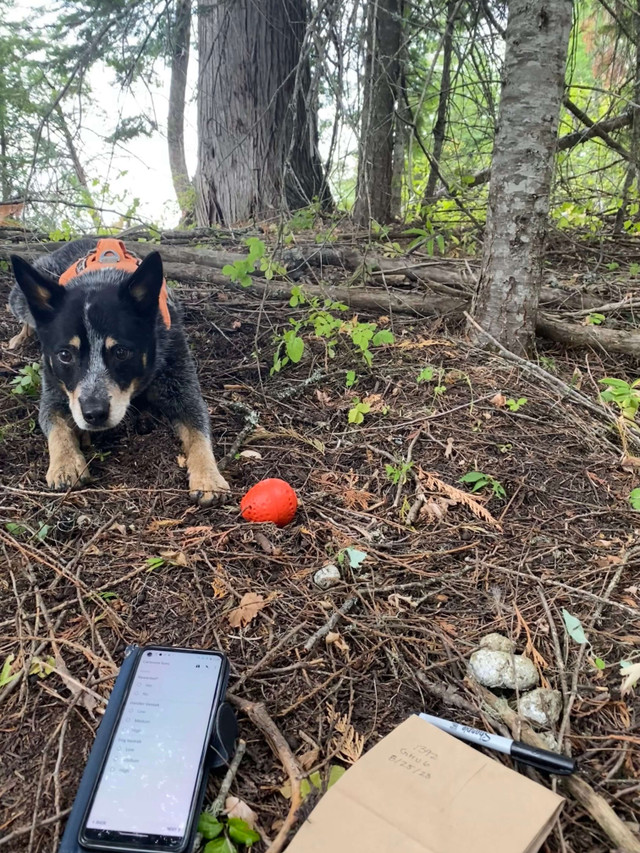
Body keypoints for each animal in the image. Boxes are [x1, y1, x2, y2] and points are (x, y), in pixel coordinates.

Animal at [8, 237, 230, 506]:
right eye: (65, 355)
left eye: (121, 352)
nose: (94, 414)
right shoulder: (54, 391)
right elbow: (56, 424)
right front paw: (66, 464)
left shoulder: (181, 385)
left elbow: (198, 430)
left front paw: (208, 477)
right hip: (20, 295)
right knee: (27, 317)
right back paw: (21, 337)